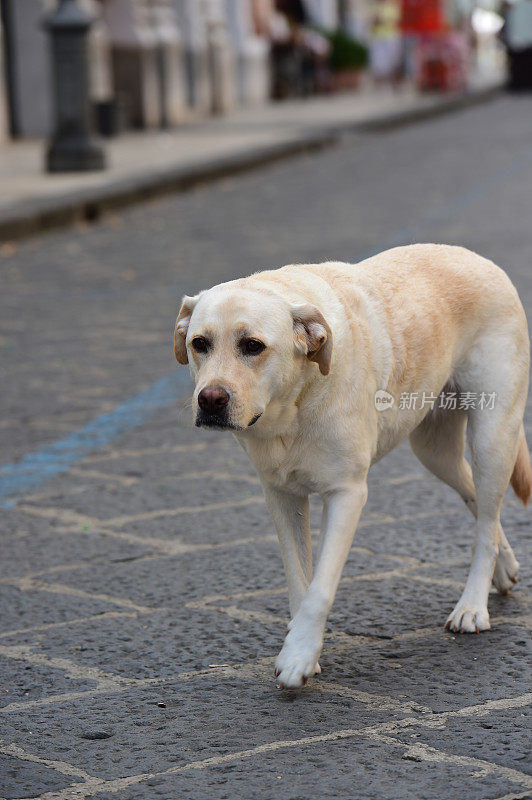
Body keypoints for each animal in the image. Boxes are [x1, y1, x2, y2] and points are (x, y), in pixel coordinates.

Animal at [174, 244, 528, 688]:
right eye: (199, 343)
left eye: (252, 346)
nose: (209, 400)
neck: (295, 404)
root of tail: (475, 256)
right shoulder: (281, 495)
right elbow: (299, 581)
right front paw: (301, 646)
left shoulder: (346, 494)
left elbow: (320, 588)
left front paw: (299, 658)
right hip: (434, 452)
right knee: (480, 505)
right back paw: (506, 568)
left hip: (492, 438)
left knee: (485, 524)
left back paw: (472, 607)